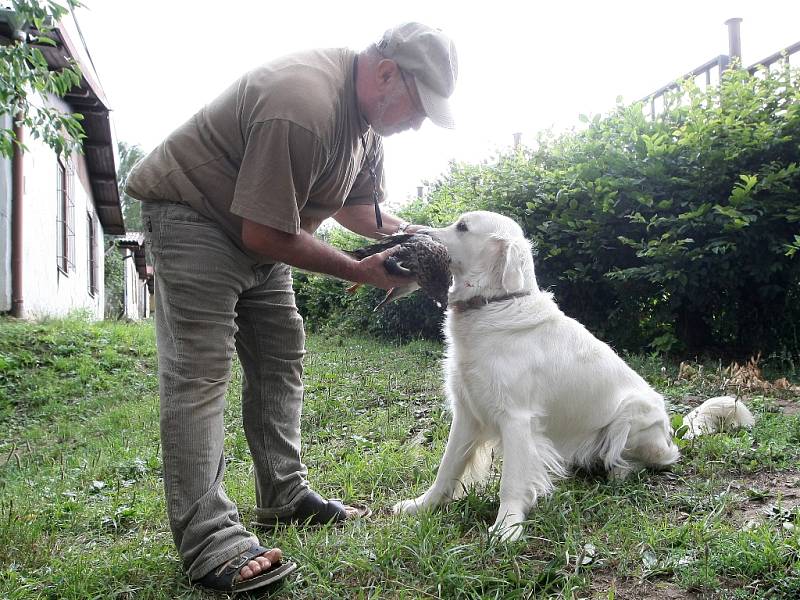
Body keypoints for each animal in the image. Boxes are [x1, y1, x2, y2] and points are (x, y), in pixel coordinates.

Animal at [394, 212, 680, 544]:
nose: (410, 233)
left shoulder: (516, 418)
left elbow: (511, 482)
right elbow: (447, 467)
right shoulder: (467, 412)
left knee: (660, 457)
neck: (495, 302)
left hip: (631, 415)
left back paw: (620, 469)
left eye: (462, 227)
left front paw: (506, 528)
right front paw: (421, 506)